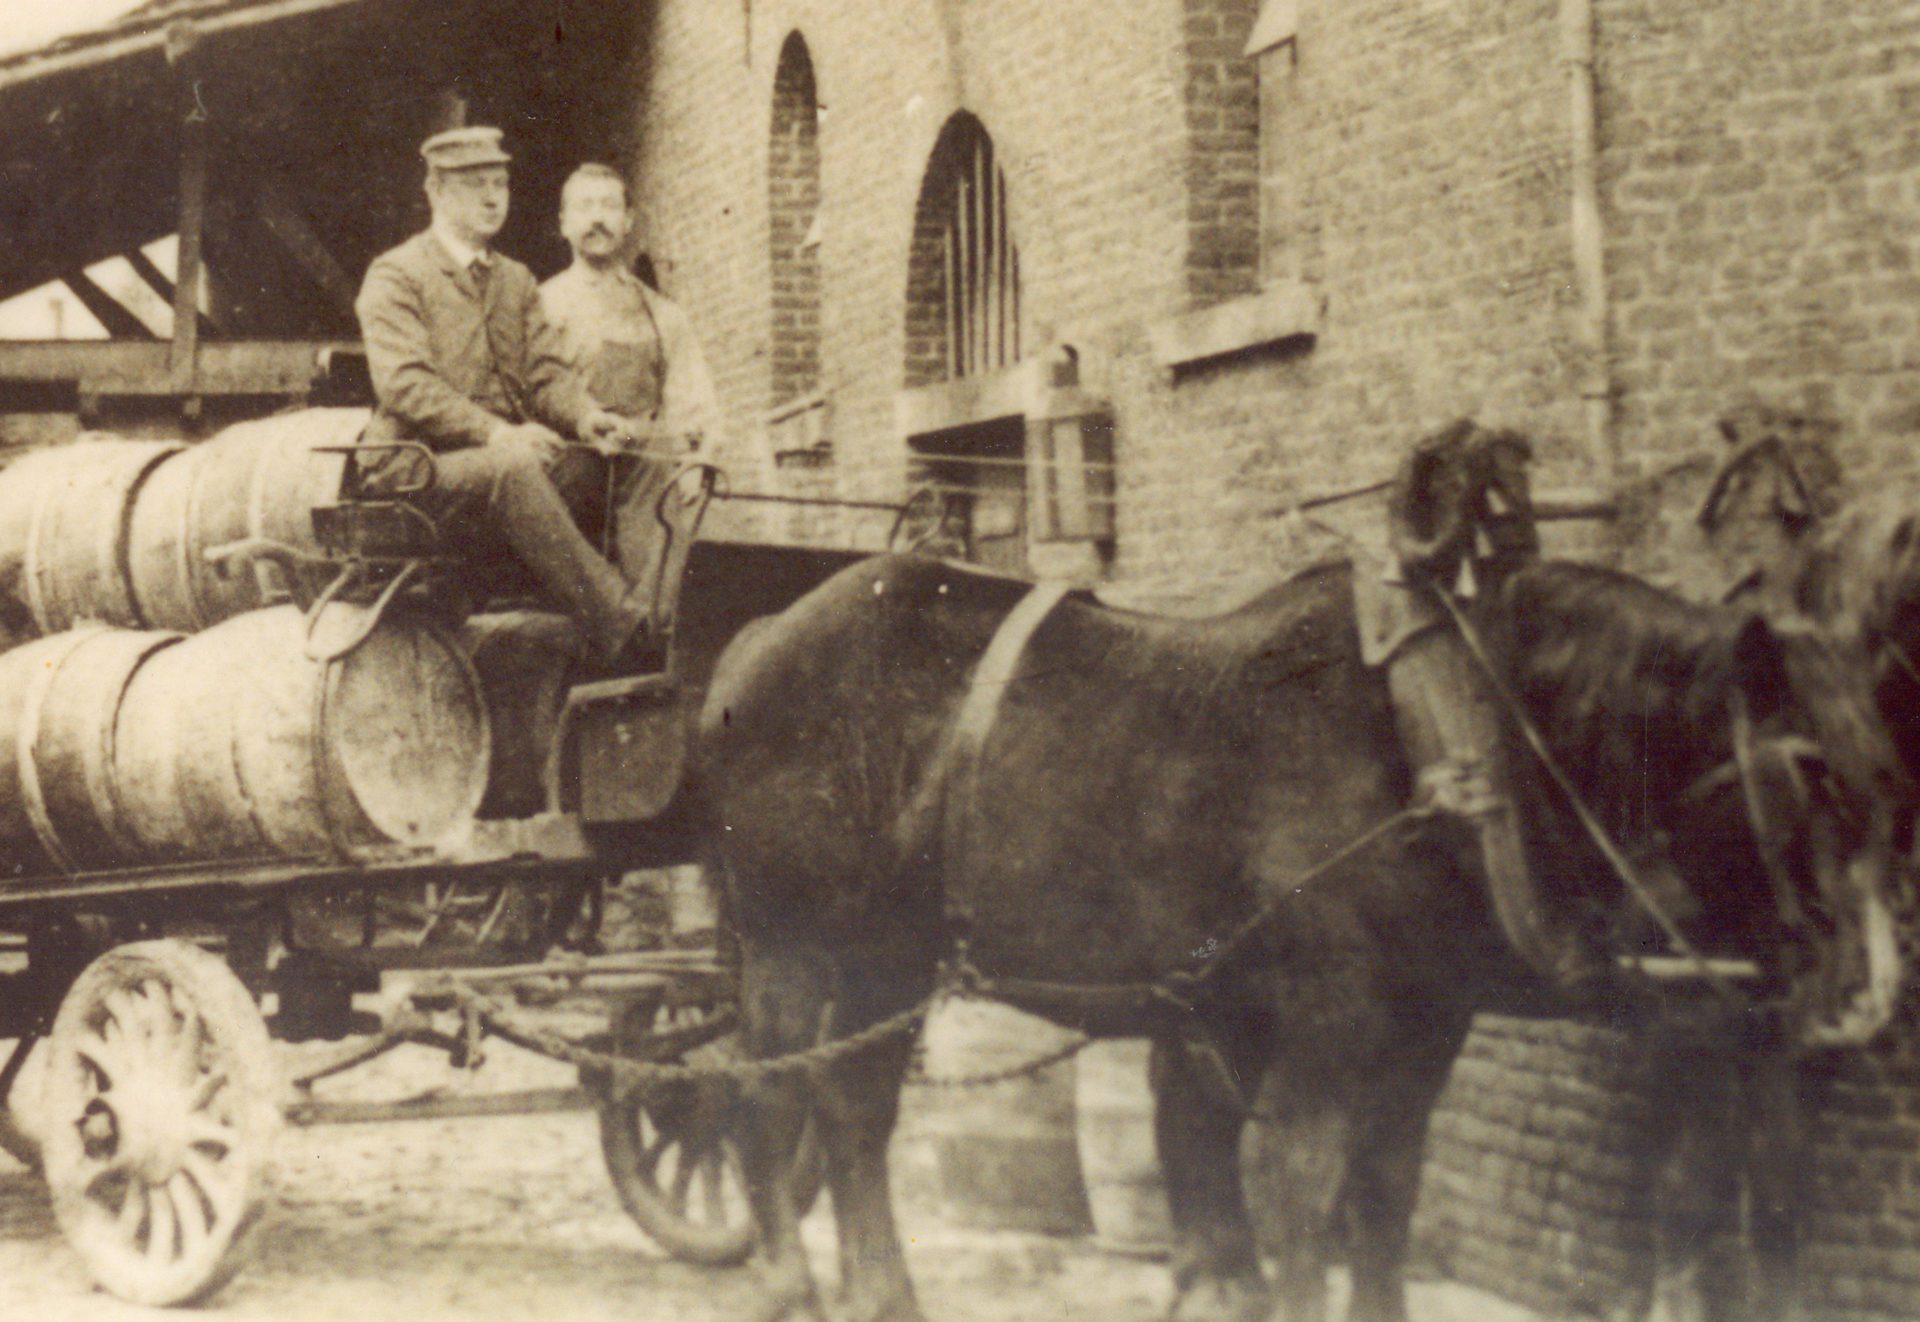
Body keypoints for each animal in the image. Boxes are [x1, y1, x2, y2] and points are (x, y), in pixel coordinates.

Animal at [698, 537, 1912, 1320]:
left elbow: (1382, 1196)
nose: (1860, 1002)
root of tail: (751, 645)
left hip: (877, 958)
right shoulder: (1331, 1027)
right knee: (777, 1093)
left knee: (836, 1107)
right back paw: (806, 1282)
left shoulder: (1425, 1026)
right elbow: (1304, 1198)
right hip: (815, 946)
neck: (1448, 744)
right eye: (1809, 775)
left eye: (1889, 775)